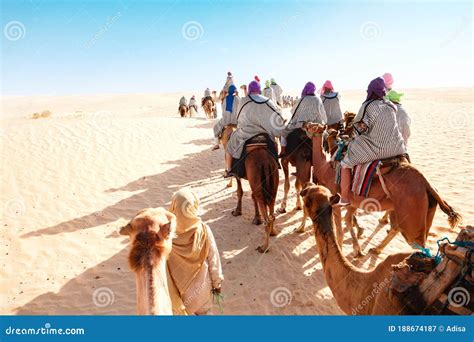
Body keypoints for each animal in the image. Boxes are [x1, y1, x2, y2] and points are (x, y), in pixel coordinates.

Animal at [306, 123, 462, 256]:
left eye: (311, 126)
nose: (304, 125)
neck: (326, 169)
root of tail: (426, 183)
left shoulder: (336, 200)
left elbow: (340, 229)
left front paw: (344, 249)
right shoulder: (353, 202)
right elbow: (348, 220)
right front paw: (358, 250)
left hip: (412, 215)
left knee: (417, 242)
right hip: (419, 210)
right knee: (399, 229)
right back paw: (377, 249)